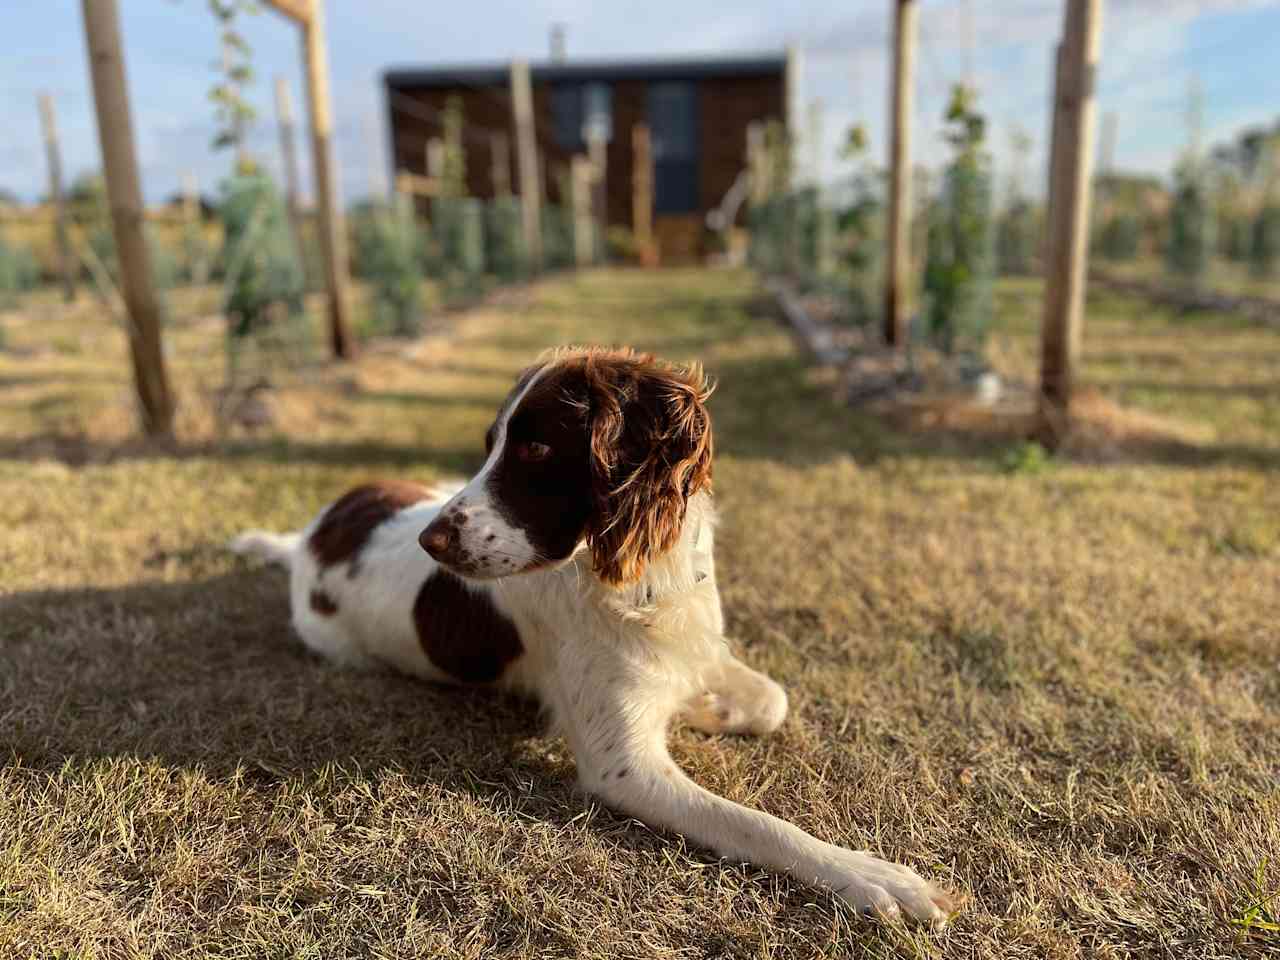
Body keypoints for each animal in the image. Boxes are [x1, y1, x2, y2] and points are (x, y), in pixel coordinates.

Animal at [232, 345, 952, 926]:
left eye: (535, 448)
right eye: (495, 443)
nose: (429, 542)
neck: (637, 577)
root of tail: (312, 536)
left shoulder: (699, 647)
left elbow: (773, 699)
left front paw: (705, 707)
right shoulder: (622, 766)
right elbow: (756, 823)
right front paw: (868, 875)